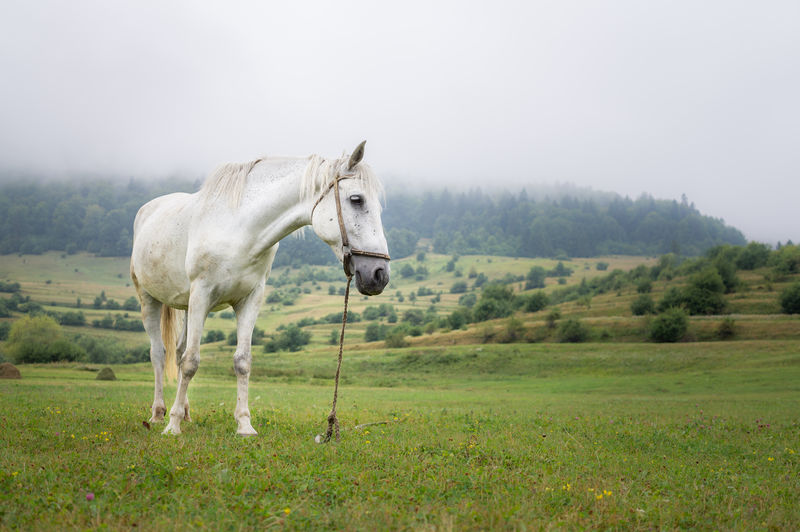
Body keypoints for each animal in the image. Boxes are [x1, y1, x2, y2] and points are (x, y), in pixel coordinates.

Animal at [131, 142, 390, 436]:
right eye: (356, 199)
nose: (379, 274)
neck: (238, 229)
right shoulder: (202, 295)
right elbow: (190, 362)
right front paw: (172, 427)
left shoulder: (250, 299)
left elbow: (242, 361)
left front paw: (244, 424)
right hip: (150, 300)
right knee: (159, 355)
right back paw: (159, 414)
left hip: (186, 306)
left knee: (176, 351)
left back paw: (185, 412)